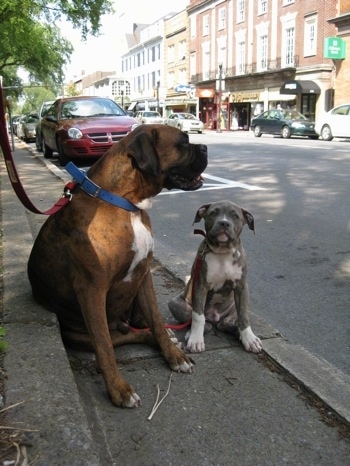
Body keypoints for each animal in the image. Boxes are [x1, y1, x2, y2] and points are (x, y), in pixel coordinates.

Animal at [28, 124, 208, 408]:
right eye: (183, 143)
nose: (205, 147)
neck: (124, 203)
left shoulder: (143, 275)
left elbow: (157, 321)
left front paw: (173, 356)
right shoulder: (92, 290)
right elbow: (104, 347)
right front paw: (118, 389)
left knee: (137, 330)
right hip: (79, 334)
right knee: (117, 339)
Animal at [167, 199, 262, 354]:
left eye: (235, 216)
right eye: (213, 213)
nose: (224, 223)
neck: (223, 252)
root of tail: (214, 317)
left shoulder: (241, 287)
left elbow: (243, 316)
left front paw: (249, 338)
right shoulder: (200, 285)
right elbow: (198, 317)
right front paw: (196, 340)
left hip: (235, 308)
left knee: (226, 323)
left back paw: (239, 333)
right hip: (176, 303)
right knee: (204, 323)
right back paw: (191, 333)